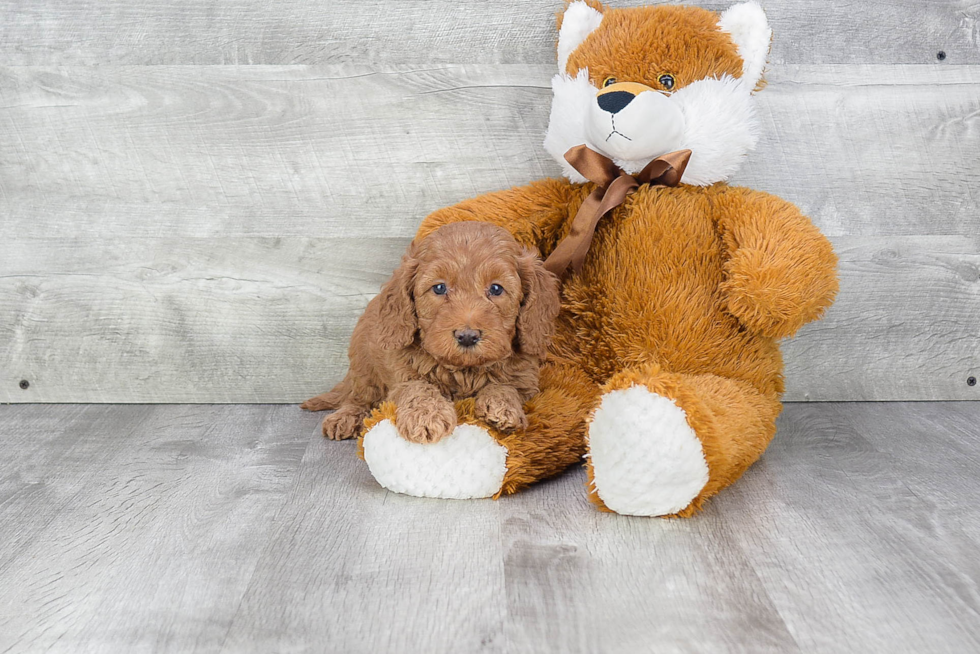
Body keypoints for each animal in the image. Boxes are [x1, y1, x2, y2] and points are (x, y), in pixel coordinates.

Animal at [298, 222, 560, 446]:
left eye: (496, 289)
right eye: (439, 288)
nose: (467, 336)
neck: (464, 370)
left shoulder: (525, 380)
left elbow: (505, 385)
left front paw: (502, 408)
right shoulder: (402, 375)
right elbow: (419, 389)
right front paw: (426, 417)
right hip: (364, 363)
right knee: (358, 396)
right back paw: (346, 417)